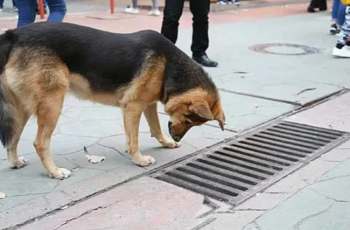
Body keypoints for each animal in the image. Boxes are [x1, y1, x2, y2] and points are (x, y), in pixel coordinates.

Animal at [0, 21, 224, 180]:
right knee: (40, 143)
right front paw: (139, 159)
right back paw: (54, 172)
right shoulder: (133, 107)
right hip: (52, 104)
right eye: (188, 119)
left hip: (22, 109)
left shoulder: (148, 105)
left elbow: (156, 128)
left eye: (192, 123)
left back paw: (15, 162)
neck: (169, 65)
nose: (177, 138)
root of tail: (14, 34)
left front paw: (166, 143)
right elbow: (133, 140)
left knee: (12, 138)